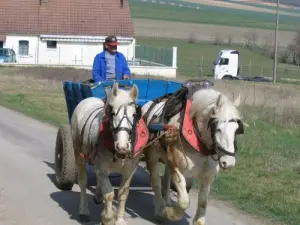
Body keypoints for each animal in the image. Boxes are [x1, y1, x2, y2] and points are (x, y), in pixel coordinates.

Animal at [70, 82, 150, 225]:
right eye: (112, 113)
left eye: (135, 114)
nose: (122, 146)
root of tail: (88, 99)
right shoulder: (102, 166)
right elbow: (109, 194)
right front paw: (107, 218)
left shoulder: (130, 170)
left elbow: (123, 194)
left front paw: (119, 219)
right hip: (78, 151)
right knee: (83, 181)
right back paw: (84, 210)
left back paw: (97, 195)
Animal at [141, 87, 244, 224]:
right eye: (218, 129)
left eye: (237, 130)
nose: (229, 162)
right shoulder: (178, 168)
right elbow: (184, 201)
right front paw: (172, 214)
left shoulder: (208, 175)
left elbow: (203, 201)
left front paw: (199, 220)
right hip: (152, 155)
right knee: (155, 181)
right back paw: (160, 209)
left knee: (166, 178)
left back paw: (167, 200)